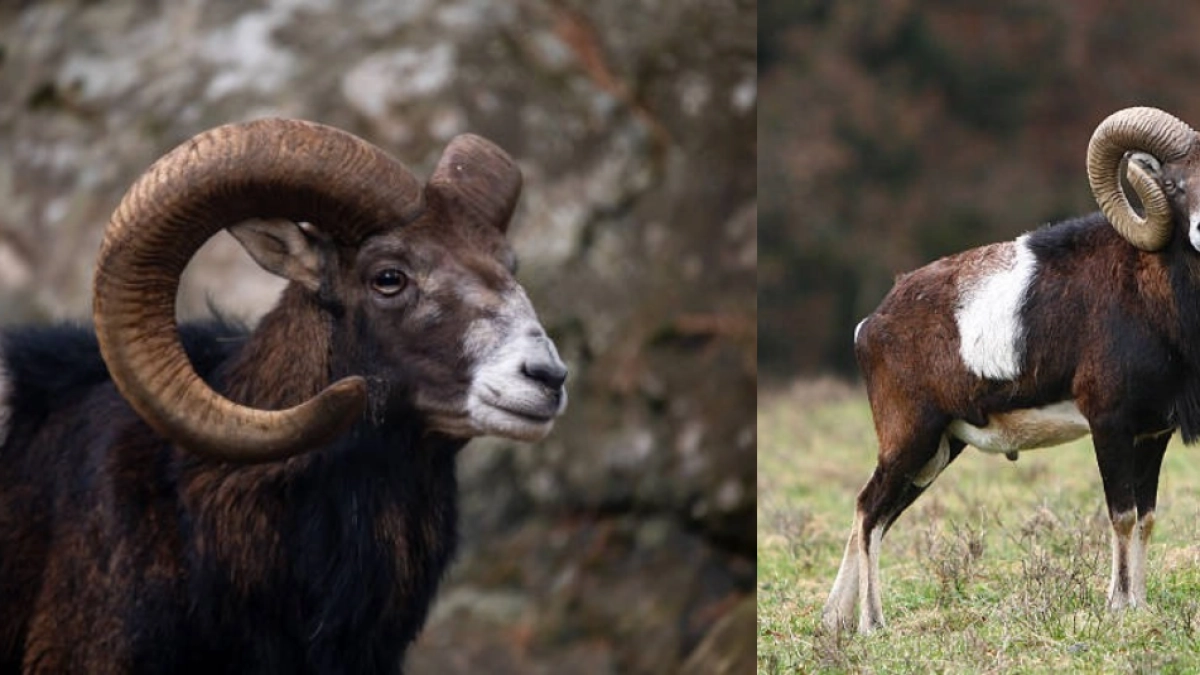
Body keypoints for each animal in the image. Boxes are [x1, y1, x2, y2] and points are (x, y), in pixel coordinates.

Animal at [822, 106, 1200, 633]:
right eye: (1176, 185)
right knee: (869, 511)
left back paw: (834, 620)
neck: (1156, 297)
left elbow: (1145, 519)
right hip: (911, 442)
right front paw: (1118, 608)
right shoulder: (1110, 428)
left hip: (936, 454)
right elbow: (1122, 516)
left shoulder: (1151, 436)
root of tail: (870, 326)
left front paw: (1139, 607)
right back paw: (871, 624)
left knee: (875, 516)